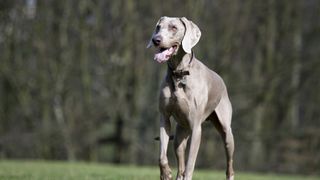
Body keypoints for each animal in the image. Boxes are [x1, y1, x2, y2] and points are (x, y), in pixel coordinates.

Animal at [148, 16, 235, 180]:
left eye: (174, 27)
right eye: (158, 27)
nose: (156, 40)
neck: (179, 74)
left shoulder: (196, 128)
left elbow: (190, 164)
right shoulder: (164, 118)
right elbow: (162, 156)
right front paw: (165, 173)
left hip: (227, 133)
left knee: (229, 163)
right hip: (180, 134)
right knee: (180, 161)